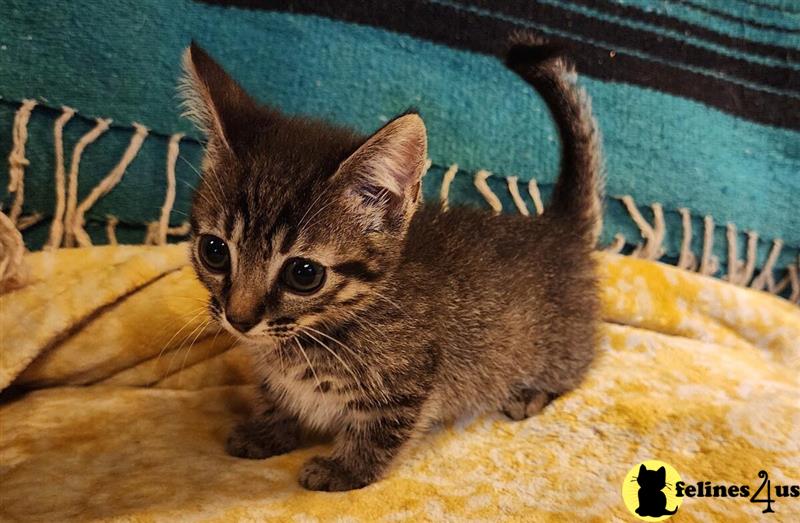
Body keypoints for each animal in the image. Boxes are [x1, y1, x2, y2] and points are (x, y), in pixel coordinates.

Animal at [181, 35, 604, 492]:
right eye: (214, 251)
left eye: (304, 274)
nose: (238, 319)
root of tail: (557, 225)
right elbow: (280, 398)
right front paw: (268, 430)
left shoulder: (409, 382)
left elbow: (379, 431)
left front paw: (344, 470)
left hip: (557, 347)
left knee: (573, 371)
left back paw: (529, 393)